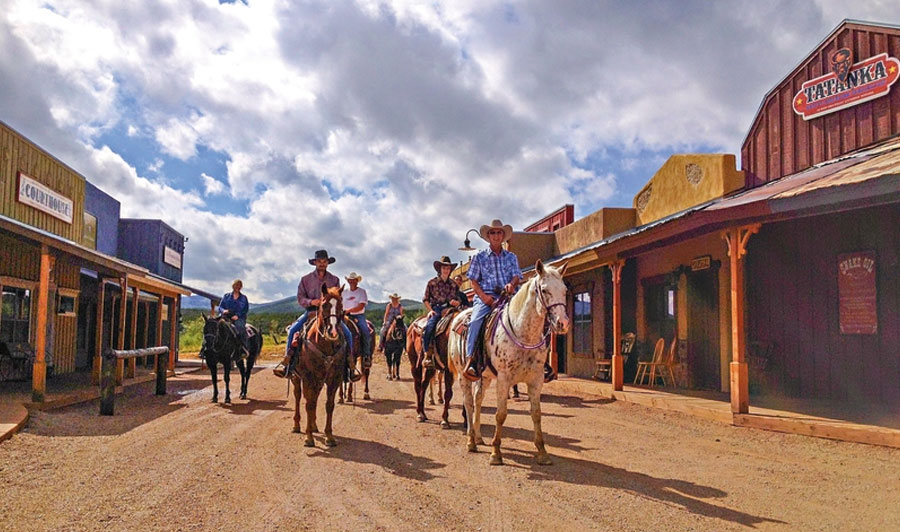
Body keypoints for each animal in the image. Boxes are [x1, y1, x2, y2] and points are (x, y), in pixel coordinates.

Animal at [290, 284, 350, 446]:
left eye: (341, 305)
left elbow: (329, 405)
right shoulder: (308, 378)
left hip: (318, 381)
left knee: (314, 399)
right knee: (298, 397)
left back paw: (314, 425)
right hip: (297, 378)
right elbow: (309, 404)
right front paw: (309, 437)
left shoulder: (333, 379)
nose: (333, 331)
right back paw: (297, 426)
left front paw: (329, 436)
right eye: (324, 305)